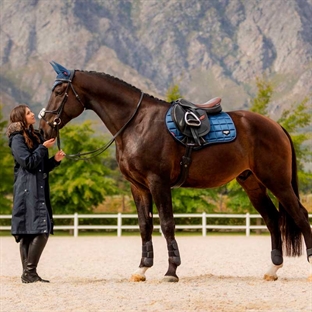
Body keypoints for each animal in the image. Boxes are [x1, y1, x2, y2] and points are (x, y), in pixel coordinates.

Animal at [40, 62, 310, 282]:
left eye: (58, 92)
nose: (43, 128)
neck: (137, 123)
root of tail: (275, 126)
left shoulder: (158, 183)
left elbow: (167, 224)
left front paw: (171, 271)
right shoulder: (138, 187)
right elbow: (144, 226)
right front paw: (142, 269)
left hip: (278, 181)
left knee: (299, 215)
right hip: (253, 184)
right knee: (272, 219)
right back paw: (272, 269)